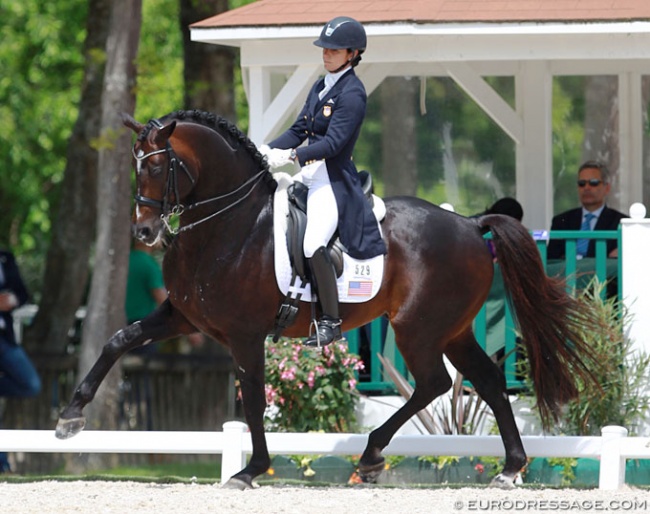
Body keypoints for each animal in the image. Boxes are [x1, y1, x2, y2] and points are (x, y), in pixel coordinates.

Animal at [58, 109, 596, 488]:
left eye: (158, 164)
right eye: (135, 166)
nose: (145, 232)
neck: (230, 224)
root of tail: (469, 223)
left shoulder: (245, 334)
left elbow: (254, 396)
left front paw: (251, 470)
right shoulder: (183, 316)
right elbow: (118, 340)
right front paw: (69, 418)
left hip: (418, 328)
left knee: (435, 384)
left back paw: (372, 456)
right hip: (453, 330)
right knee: (485, 380)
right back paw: (510, 467)